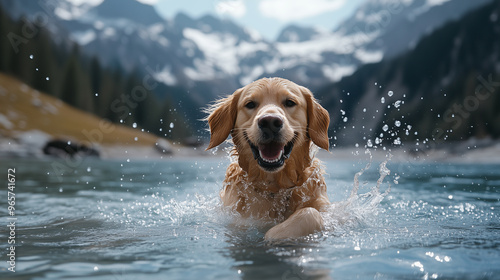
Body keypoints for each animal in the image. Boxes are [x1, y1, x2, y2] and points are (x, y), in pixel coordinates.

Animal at [205, 77, 330, 241]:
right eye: (250, 104)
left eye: (290, 102)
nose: (270, 122)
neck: (274, 187)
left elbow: (310, 212)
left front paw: (273, 234)